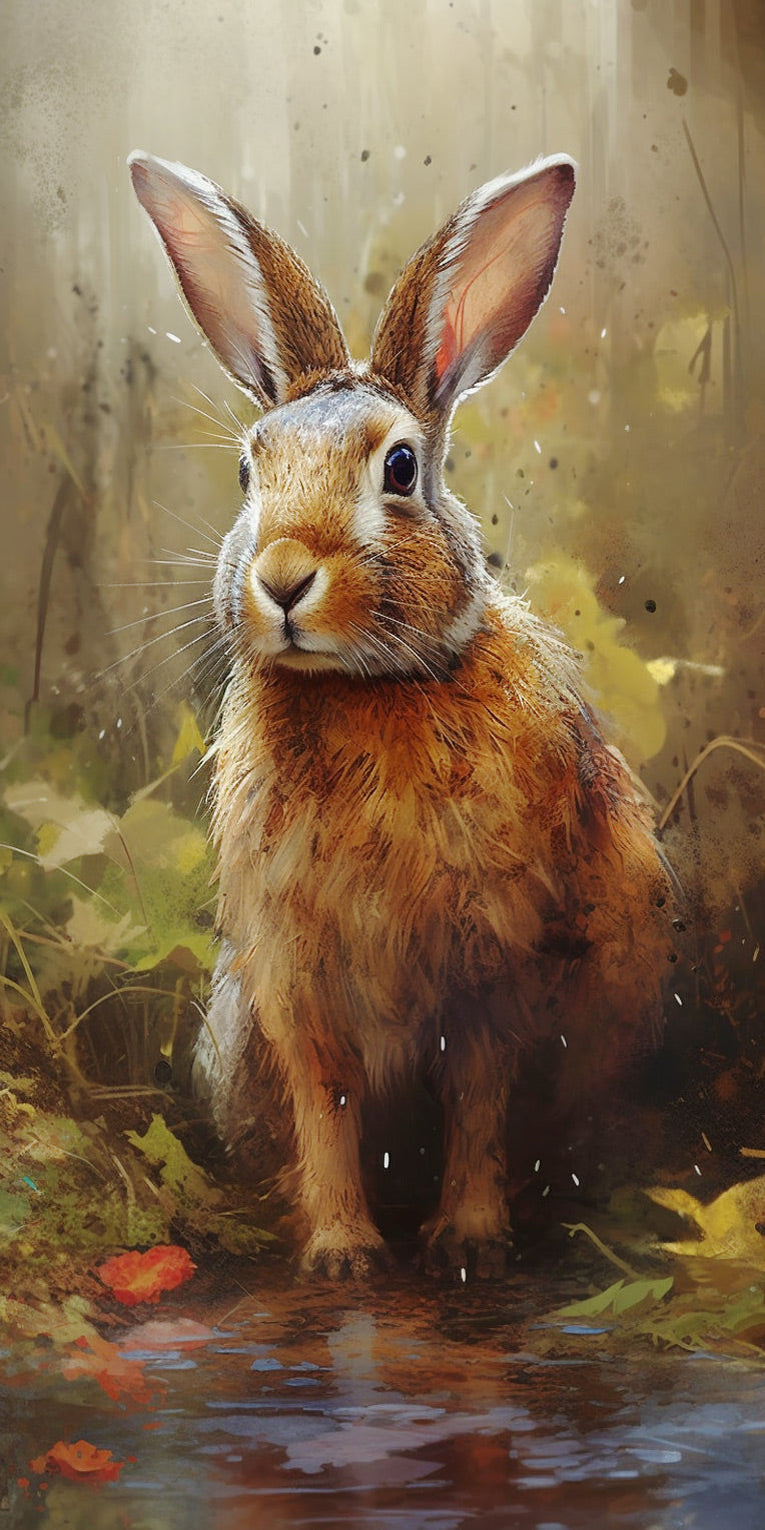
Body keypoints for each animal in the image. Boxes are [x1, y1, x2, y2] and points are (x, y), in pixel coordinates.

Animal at [129, 150, 678, 1279]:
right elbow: (327, 1101)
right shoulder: (295, 977)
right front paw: (341, 1253)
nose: (282, 577)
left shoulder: (496, 965)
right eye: (247, 469)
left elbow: (477, 1097)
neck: (365, 689)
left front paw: (467, 1243)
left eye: (399, 469)